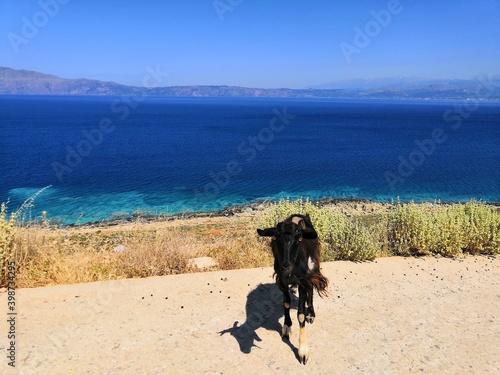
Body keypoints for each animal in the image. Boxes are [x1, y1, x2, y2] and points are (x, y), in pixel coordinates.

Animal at [258, 216, 328, 366]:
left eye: (299, 239)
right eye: (275, 237)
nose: (286, 265)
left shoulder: (302, 280)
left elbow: (301, 314)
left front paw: (303, 351)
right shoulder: (281, 280)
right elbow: (286, 303)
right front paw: (286, 327)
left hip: (313, 264)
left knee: (311, 288)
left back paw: (311, 314)